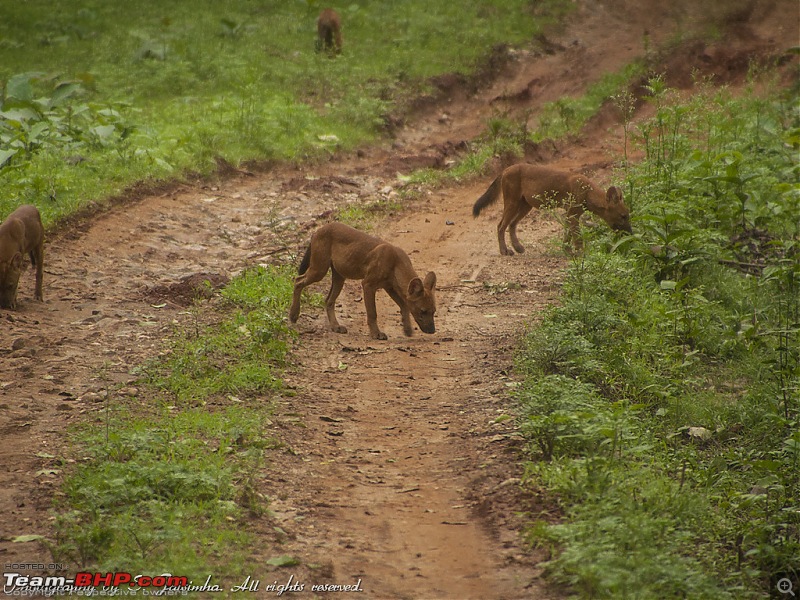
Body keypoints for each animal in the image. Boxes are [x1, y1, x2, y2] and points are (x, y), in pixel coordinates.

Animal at [290, 223, 438, 340]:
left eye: (434, 311)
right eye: (423, 311)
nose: (432, 331)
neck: (396, 262)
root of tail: (319, 230)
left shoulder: (389, 287)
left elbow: (404, 305)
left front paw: (407, 329)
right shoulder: (368, 284)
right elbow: (372, 313)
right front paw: (376, 334)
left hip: (339, 277)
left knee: (328, 301)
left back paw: (335, 327)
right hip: (319, 269)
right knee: (298, 280)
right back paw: (293, 315)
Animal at [472, 164, 636, 255]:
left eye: (627, 215)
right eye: (623, 216)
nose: (631, 233)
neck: (588, 192)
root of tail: (505, 169)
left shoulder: (571, 215)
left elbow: (568, 234)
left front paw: (567, 250)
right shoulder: (572, 215)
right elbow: (577, 237)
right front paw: (581, 254)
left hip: (526, 206)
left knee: (512, 224)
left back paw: (518, 248)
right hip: (512, 203)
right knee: (500, 226)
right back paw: (505, 251)